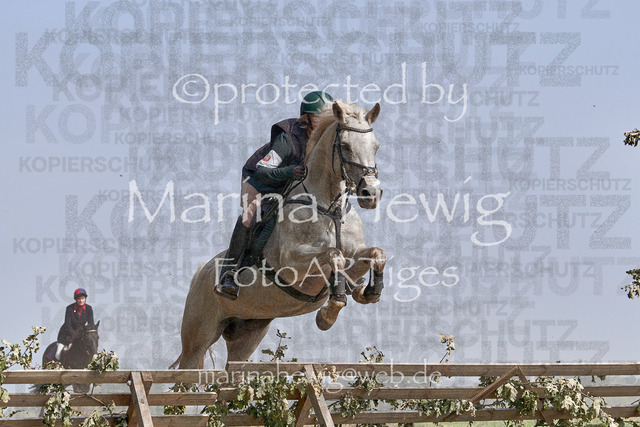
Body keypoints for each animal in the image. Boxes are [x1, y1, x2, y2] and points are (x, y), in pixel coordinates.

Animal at [174, 101, 385, 369]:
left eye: (376, 146)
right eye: (345, 145)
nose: (371, 194)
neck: (329, 208)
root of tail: (201, 272)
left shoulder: (355, 255)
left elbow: (376, 253)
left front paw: (368, 292)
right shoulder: (291, 264)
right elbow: (333, 254)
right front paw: (326, 316)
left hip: (247, 334)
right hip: (197, 339)